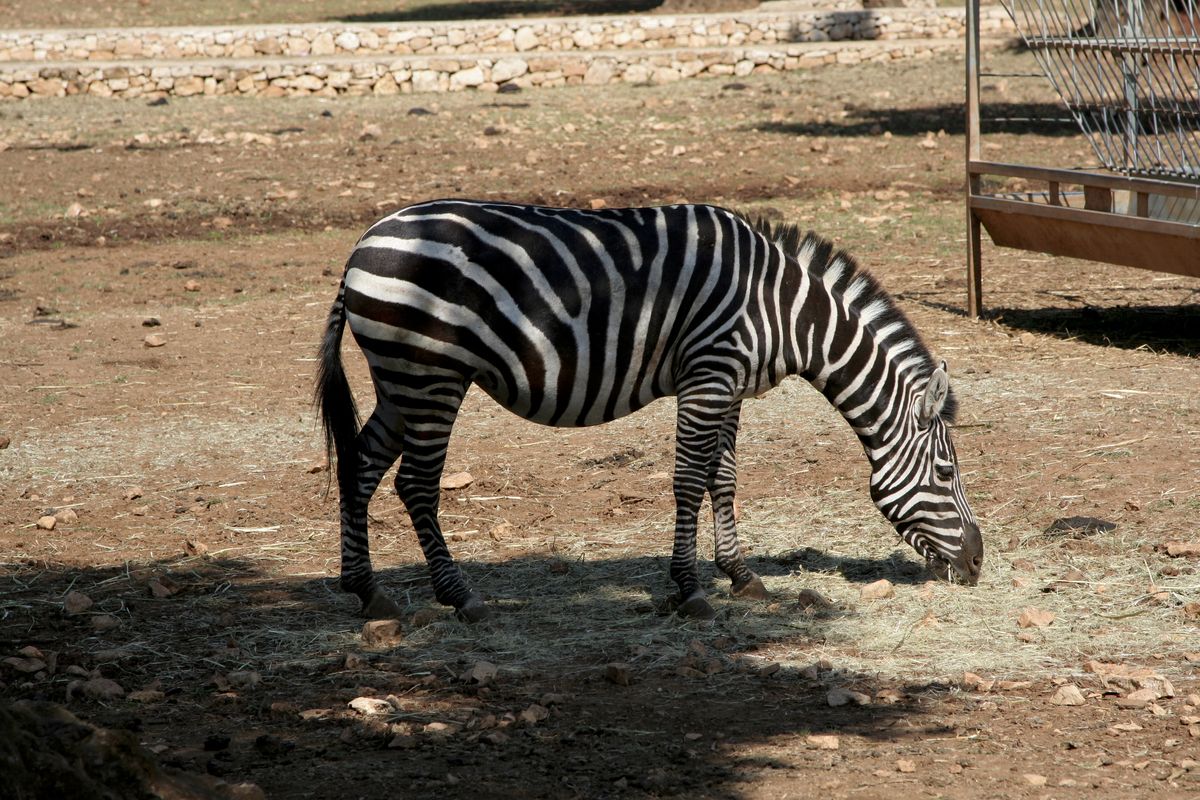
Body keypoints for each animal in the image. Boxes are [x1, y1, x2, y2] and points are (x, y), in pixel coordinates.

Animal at [316, 199, 983, 622]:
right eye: (948, 472)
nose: (978, 563)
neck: (783, 311)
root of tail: (360, 246)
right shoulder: (709, 374)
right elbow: (689, 480)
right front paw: (689, 591)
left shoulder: (730, 385)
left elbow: (723, 478)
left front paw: (741, 577)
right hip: (432, 375)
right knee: (415, 483)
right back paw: (460, 597)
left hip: (402, 380)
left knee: (362, 464)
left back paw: (367, 591)